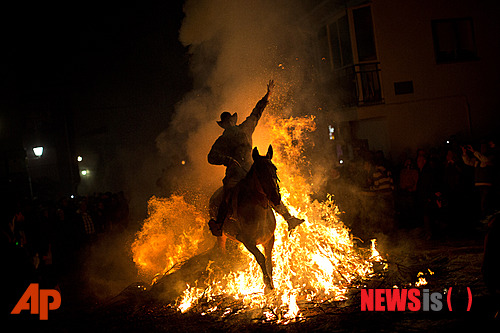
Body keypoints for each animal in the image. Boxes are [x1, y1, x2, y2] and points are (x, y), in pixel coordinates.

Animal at [208, 144, 282, 290]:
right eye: (259, 172)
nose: (276, 197)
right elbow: (261, 258)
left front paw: (271, 283)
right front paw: (266, 283)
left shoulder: (269, 239)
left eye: (274, 168)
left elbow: (269, 260)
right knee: (222, 250)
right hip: (221, 235)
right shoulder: (248, 242)